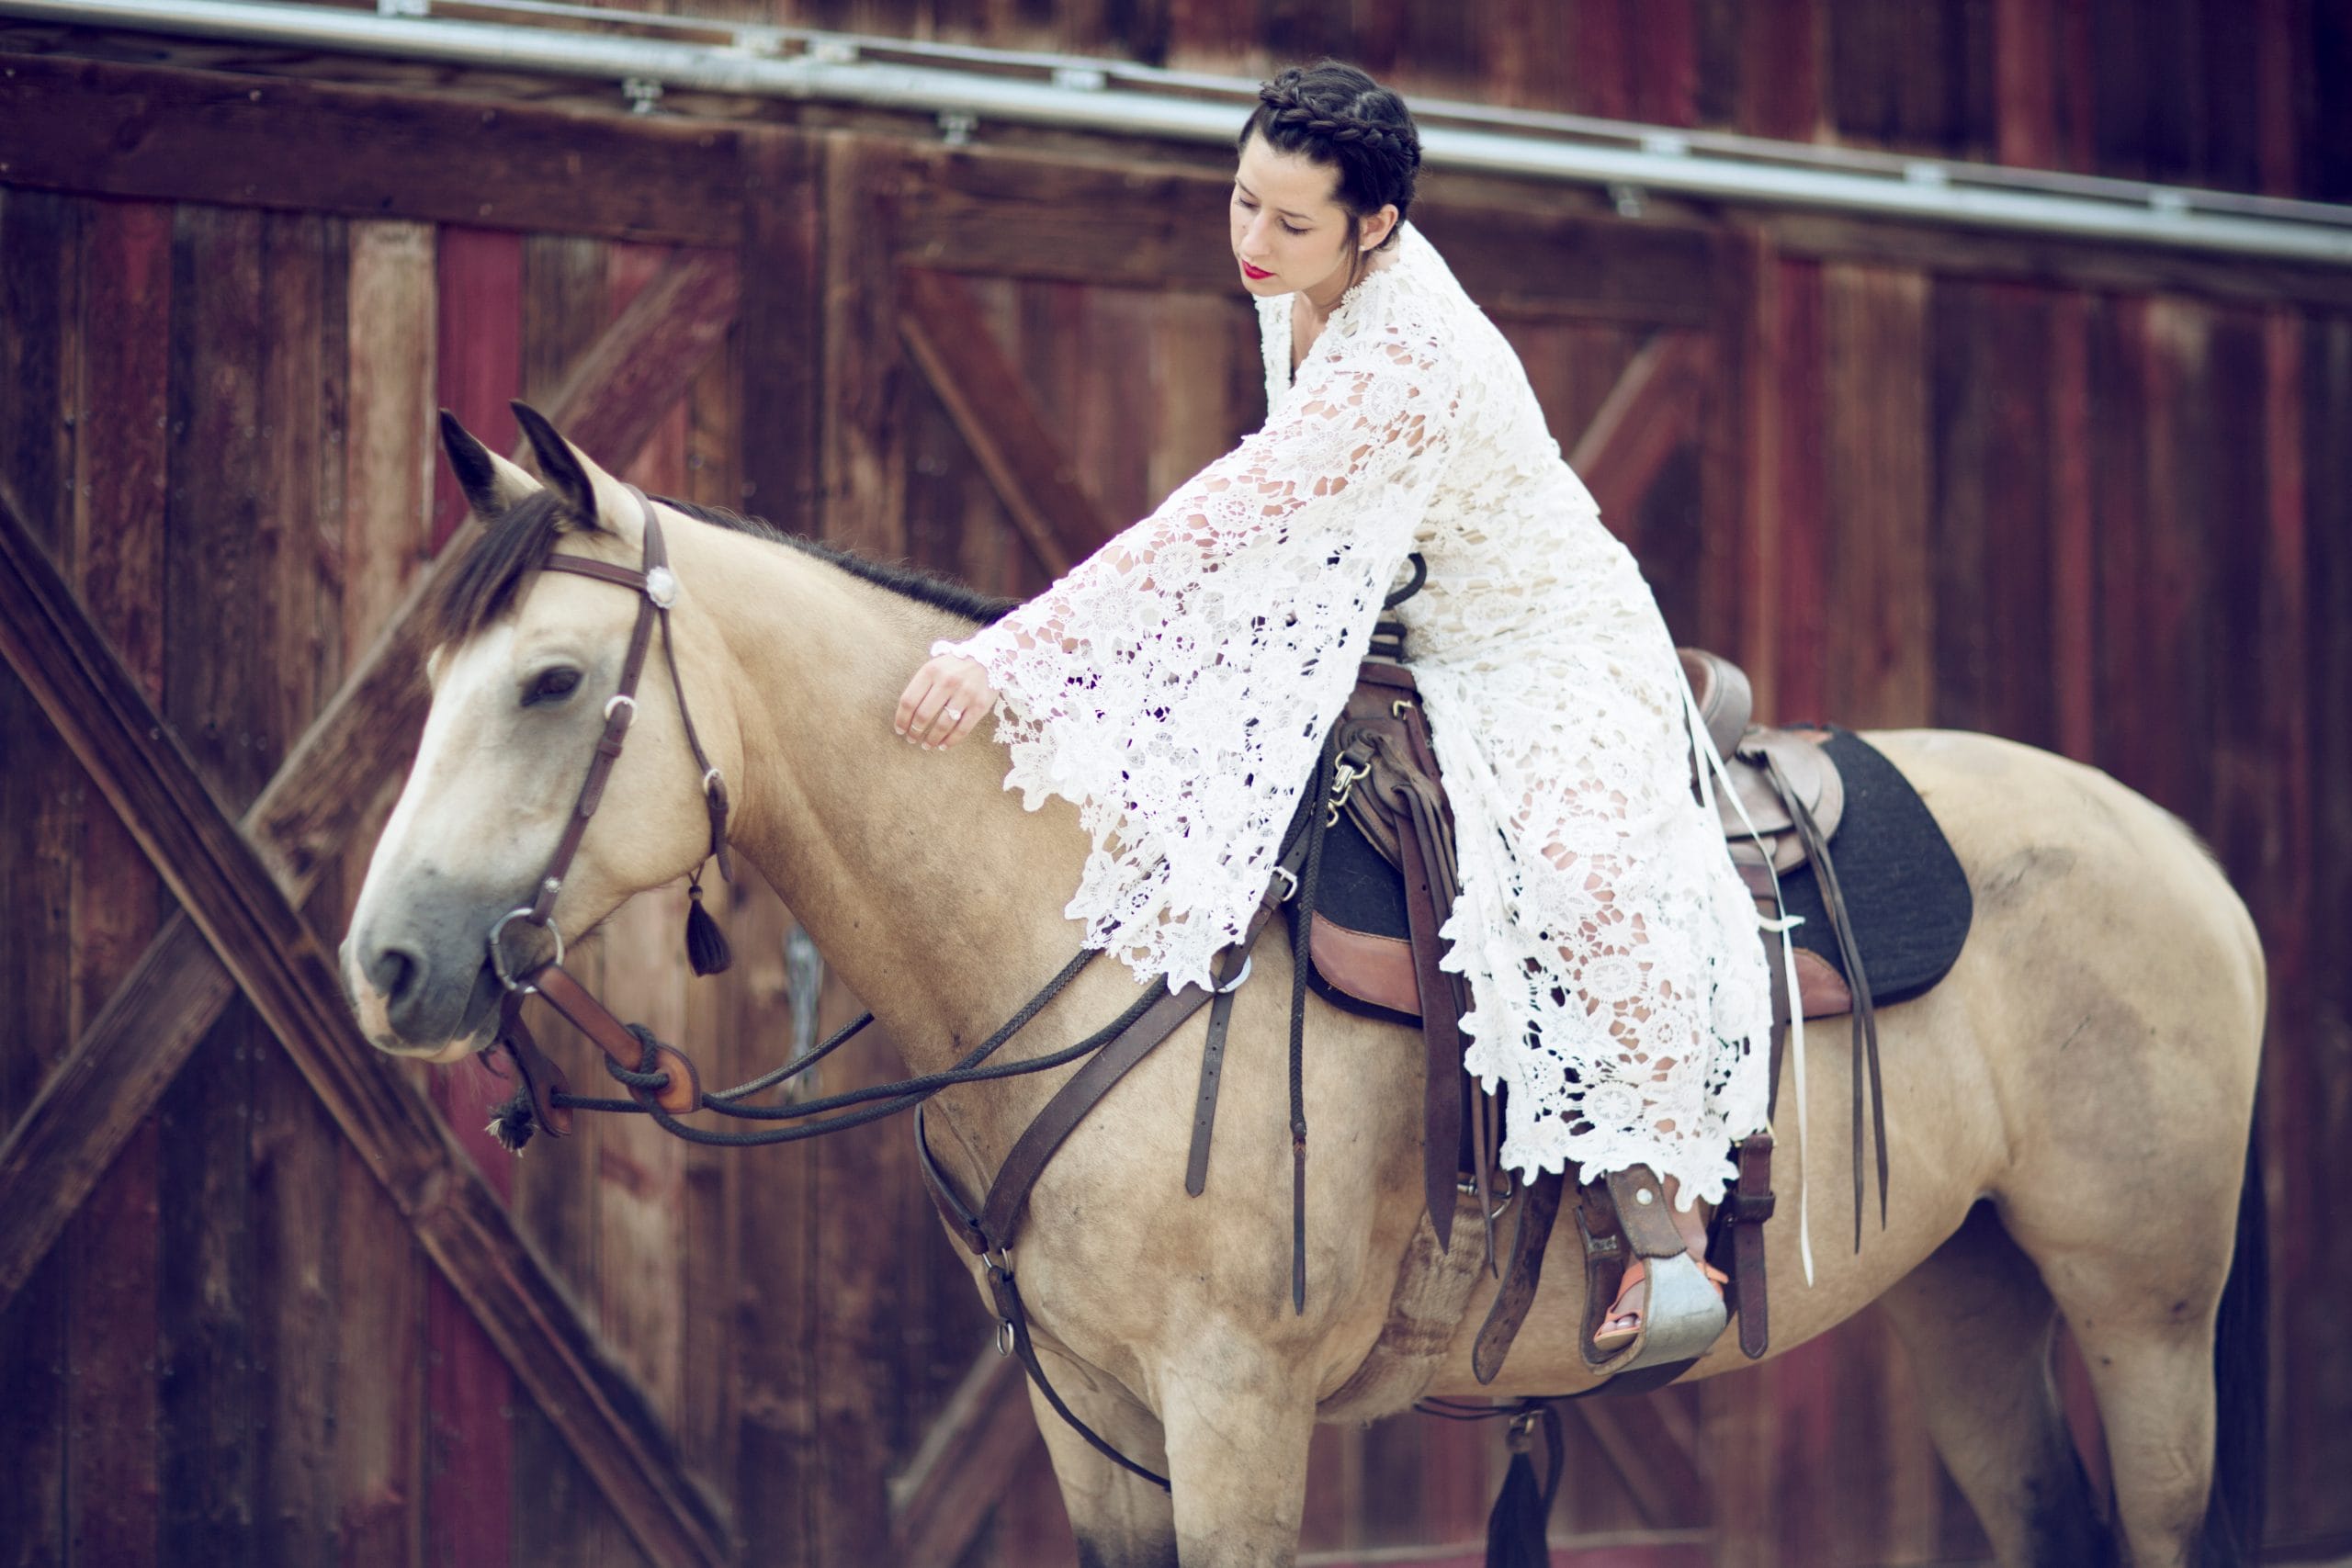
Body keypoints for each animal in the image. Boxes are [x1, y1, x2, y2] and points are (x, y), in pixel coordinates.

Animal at [341, 409, 2267, 1568]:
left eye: (553, 680)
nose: (387, 965)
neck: (1099, 928)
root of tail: (2184, 849)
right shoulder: (1094, 1417)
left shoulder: (1237, 1408)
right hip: (1969, 1288)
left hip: (2145, 1306)